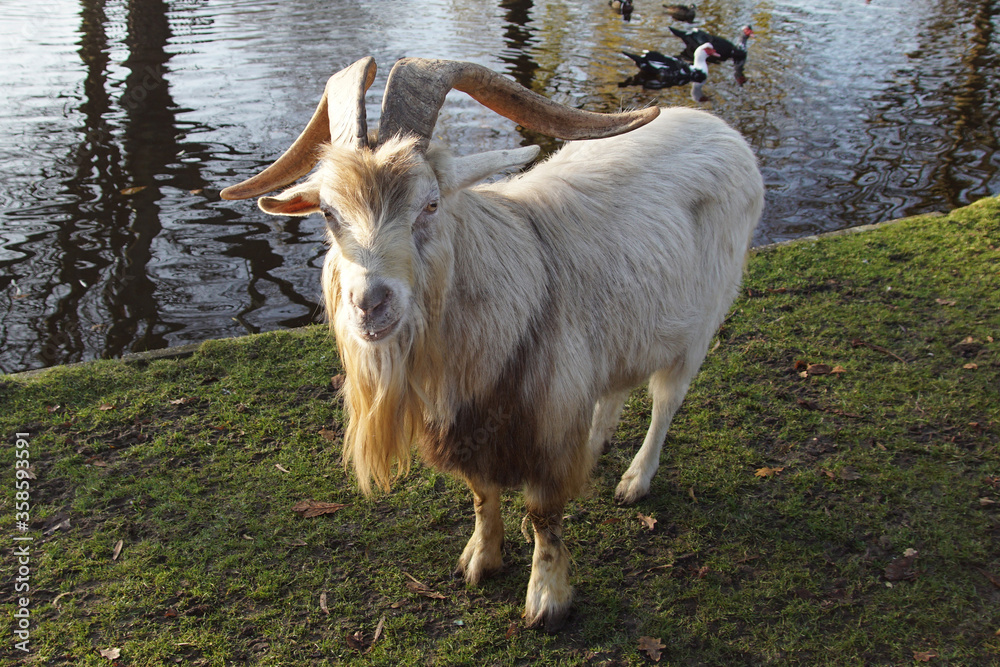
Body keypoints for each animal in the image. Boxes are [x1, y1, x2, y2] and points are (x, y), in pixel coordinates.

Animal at [221, 57, 764, 631]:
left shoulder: (545, 421)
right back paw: (596, 448)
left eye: (430, 204)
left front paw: (547, 600)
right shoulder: (470, 425)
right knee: (614, 387)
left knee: (665, 403)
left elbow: (544, 515)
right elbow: (482, 495)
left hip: (700, 323)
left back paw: (635, 479)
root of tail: (718, 127)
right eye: (327, 213)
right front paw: (480, 561)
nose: (370, 305)